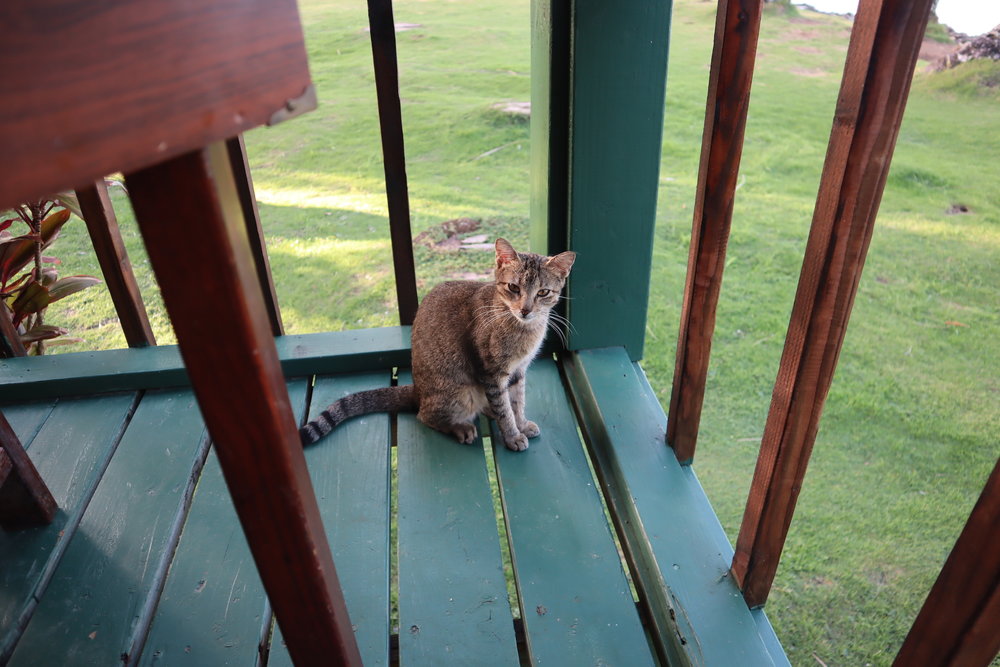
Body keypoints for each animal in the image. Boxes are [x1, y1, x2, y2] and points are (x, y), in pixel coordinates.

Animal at [296, 237, 576, 452]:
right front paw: (512, 435)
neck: (523, 328)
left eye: (543, 292)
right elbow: (505, 408)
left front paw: (522, 423)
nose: (525, 310)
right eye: (513, 287)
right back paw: (460, 427)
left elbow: (517, 402)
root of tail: (418, 391)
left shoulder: (518, 371)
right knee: (425, 416)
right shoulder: (492, 373)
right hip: (460, 394)